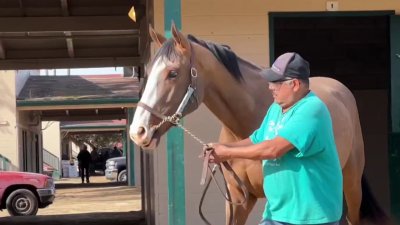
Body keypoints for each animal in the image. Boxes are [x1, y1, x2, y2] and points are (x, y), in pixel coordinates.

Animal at [130, 23, 386, 224]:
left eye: (172, 73)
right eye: (149, 72)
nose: (138, 132)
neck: (246, 120)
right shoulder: (238, 200)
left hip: (351, 183)